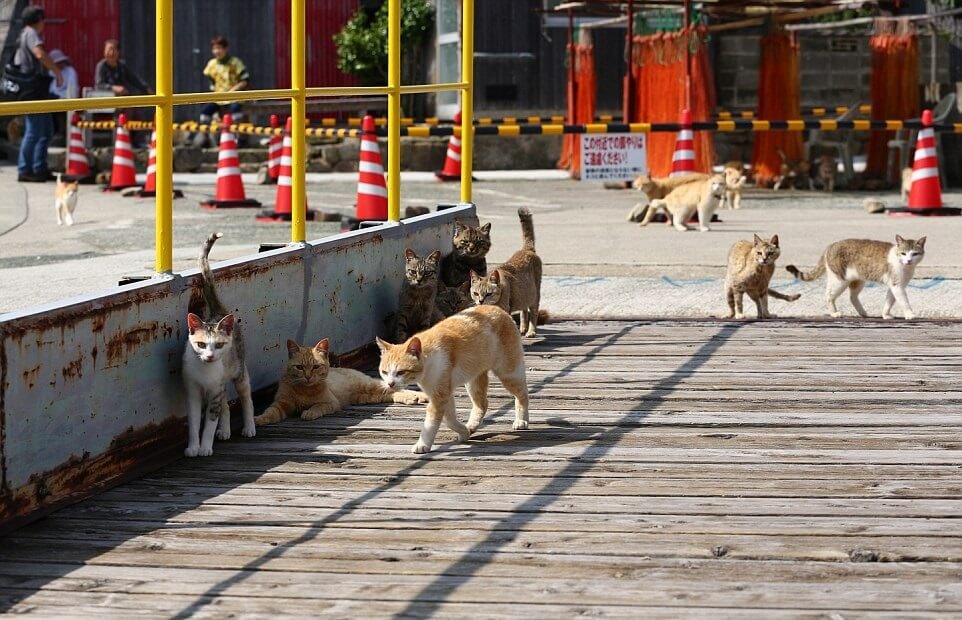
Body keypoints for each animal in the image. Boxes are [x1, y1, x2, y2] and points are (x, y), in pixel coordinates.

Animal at [180, 232, 255, 456]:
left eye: (219, 345)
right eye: (201, 344)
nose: (211, 356)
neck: (205, 370)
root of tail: (218, 312)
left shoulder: (215, 390)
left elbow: (209, 423)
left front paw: (205, 447)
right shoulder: (193, 391)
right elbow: (194, 422)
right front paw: (193, 447)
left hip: (238, 371)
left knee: (246, 397)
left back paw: (249, 427)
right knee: (226, 405)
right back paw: (225, 430)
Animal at [253, 336, 426, 424]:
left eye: (315, 367)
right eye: (300, 367)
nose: (308, 376)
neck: (304, 389)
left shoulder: (331, 403)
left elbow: (317, 407)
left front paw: (309, 412)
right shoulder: (282, 404)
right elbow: (271, 412)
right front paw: (258, 420)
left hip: (369, 386)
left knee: (395, 387)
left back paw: (417, 396)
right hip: (369, 396)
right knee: (391, 392)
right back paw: (412, 398)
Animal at [376, 306, 528, 456]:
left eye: (401, 372)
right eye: (384, 372)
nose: (390, 384)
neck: (429, 359)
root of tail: (499, 309)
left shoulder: (439, 396)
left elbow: (432, 423)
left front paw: (422, 445)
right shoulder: (443, 392)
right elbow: (449, 419)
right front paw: (464, 432)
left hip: (508, 373)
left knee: (522, 394)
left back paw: (521, 420)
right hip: (473, 380)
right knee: (483, 403)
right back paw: (472, 425)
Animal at [470, 208, 544, 336]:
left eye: (488, 293)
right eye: (475, 293)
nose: (481, 301)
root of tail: (526, 249)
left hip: (535, 295)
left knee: (533, 312)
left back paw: (531, 331)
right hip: (524, 294)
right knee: (524, 310)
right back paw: (523, 328)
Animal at [784, 234, 928, 320]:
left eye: (914, 254)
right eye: (903, 253)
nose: (909, 260)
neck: (905, 267)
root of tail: (831, 245)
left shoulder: (895, 286)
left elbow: (889, 301)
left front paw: (885, 314)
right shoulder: (897, 286)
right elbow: (904, 301)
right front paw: (909, 314)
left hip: (857, 281)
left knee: (852, 297)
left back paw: (862, 312)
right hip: (839, 280)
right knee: (829, 295)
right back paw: (834, 313)